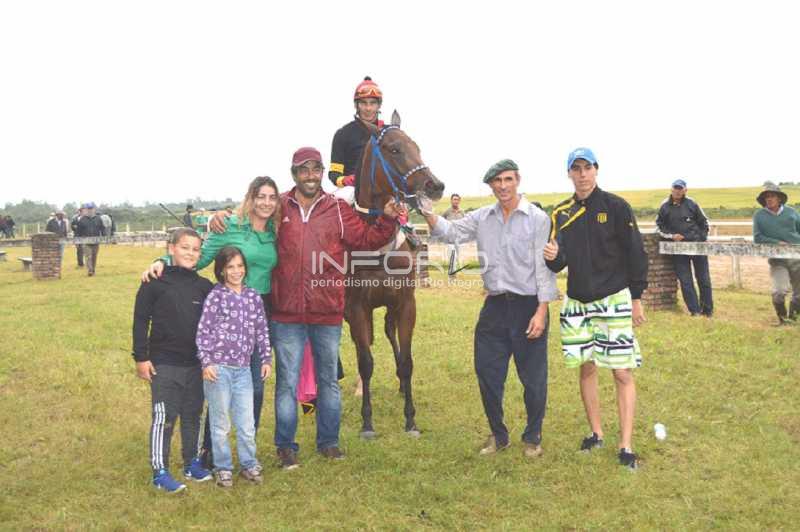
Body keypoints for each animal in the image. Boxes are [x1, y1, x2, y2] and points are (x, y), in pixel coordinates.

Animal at [344, 110, 445, 439]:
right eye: (394, 149)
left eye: (417, 147)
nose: (435, 185)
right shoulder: (356, 307)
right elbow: (365, 361)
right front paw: (367, 422)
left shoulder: (405, 303)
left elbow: (408, 362)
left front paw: (410, 419)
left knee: (389, 334)